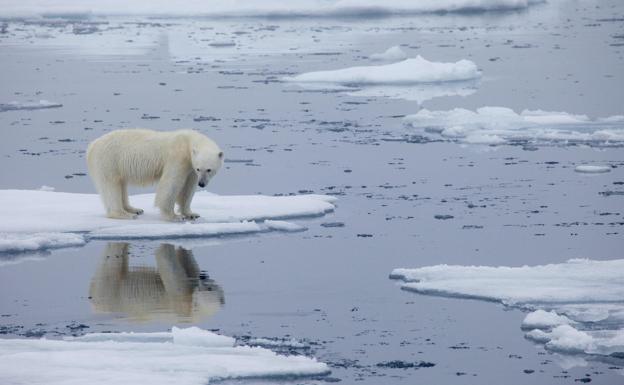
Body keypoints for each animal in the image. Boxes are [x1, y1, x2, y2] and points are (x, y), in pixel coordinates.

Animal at [86, 128, 223, 220]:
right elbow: (171, 184)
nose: (202, 184)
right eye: (200, 169)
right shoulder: (178, 158)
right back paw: (123, 214)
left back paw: (135, 209)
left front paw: (191, 213)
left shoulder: (190, 168)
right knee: (111, 186)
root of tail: (92, 145)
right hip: (109, 160)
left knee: (121, 184)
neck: (188, 141)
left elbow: (188, 188)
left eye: (209, 169)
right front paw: (174, 216)